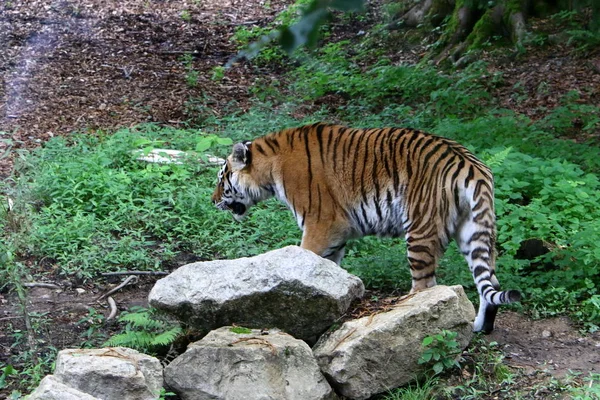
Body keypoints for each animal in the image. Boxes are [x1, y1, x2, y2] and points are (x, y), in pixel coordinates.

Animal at [211, 122, 520, 334]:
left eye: (221, 178)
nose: (213, 201)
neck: (269, 170)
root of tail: (470, 165)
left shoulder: (321, 224)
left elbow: (306, 258)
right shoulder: (336, 236)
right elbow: (327, 271)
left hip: (420, 231)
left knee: (426, 286)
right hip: (473, 232)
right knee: (490, 283)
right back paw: (480, 328)